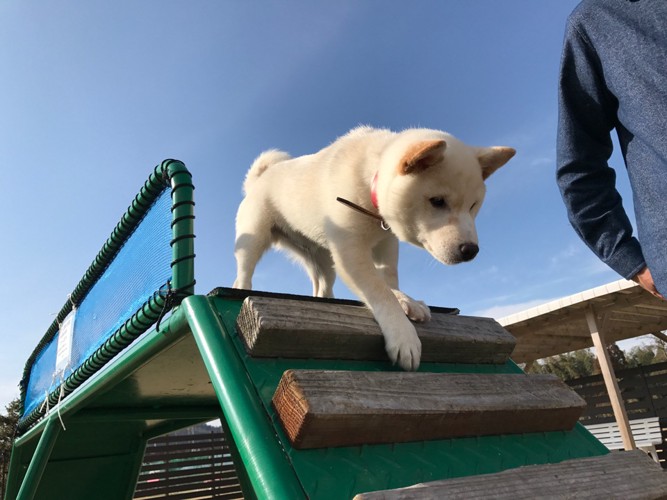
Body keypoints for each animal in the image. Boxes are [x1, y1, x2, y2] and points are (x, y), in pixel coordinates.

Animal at [235, 128, 516, 372]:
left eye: (473, 206)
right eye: (437, 201)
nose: (471, 250)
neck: (370, 178)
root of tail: (259, 178)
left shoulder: (386, 244)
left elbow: (389, 280)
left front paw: (406, 300)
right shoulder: (350, 251)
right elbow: (379, 291)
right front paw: (402, 332)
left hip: (323, 259)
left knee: (322, 287)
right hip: (253, 240)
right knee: (243, 275)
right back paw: (241, 289)